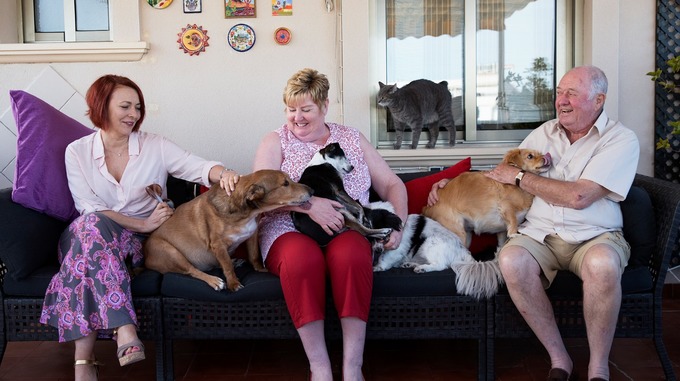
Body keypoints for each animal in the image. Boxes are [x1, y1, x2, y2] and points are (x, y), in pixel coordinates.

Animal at [145, 169, 314, 290]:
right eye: (285, 184)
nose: (312, 191)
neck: (246, 213)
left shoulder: (252, 235)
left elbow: (254, 256)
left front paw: (260, 269)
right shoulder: (217, 245)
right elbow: (226, 266)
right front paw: (233, 283)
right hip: (172, 253)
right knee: (192, 270)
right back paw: (214, 280)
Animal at [372, 200, 504, 298]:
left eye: (382, 234)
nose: (377, 250)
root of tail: (463, 252)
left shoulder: (397, 247)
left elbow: (385, 258)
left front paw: (377, 267)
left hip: (430, 242)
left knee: (440, 265)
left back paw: (422, 268)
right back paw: (411, 264)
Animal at [424, 147, 552, 248]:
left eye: (540, 153)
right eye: (530, 156)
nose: (545, 157)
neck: (518, 187)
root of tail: (427, 208)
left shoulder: (501, 231)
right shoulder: (505, 206)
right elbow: (513, 220)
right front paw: (514, 233)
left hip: (467, 235)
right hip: (458, 232)